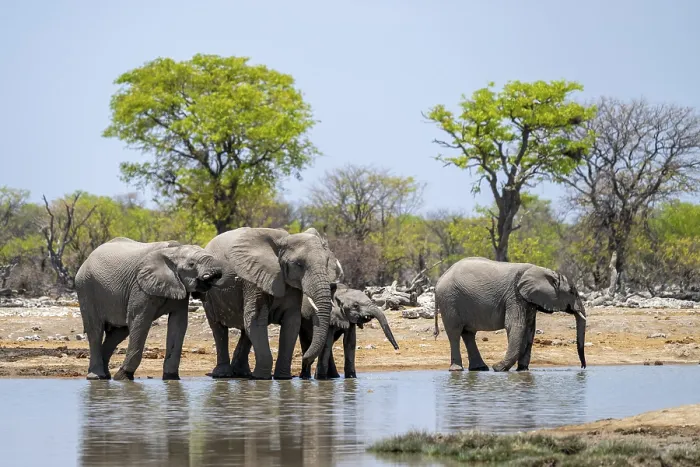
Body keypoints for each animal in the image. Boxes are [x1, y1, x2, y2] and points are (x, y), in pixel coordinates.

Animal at [74, 237, 224, 381]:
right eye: (191, 264)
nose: (215, 275)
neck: (174, 251)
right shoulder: (140, 286)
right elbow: (140, 321)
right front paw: (123, 377)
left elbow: (178, 324)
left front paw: (171, 378)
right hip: (86, 288)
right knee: (95, 330)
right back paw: (96, 377)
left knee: (118, 333)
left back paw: (106, 376)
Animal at [202, 227, 343, 380]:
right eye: (299, 264)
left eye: (327, 263)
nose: (305, 358)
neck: (284, 239)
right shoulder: (253, 278)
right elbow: (256, 320)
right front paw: (261, 378)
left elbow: (292, 323)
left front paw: (283, 378)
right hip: (208, 295)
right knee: (218, 328)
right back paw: (223, 374)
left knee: (246, 331)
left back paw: (242, 373)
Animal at [434, 257, 587, 372]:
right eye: (572, 292)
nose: (583, 367)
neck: (542, 270)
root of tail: (439, 280)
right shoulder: (514, 296)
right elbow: (516, 326)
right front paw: (499, 368)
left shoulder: (528, 300)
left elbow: (529, 330)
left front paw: (522, 370)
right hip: (449, 300)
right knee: (454, 333)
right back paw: (457, 369)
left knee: (468, 333)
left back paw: (480, 369)